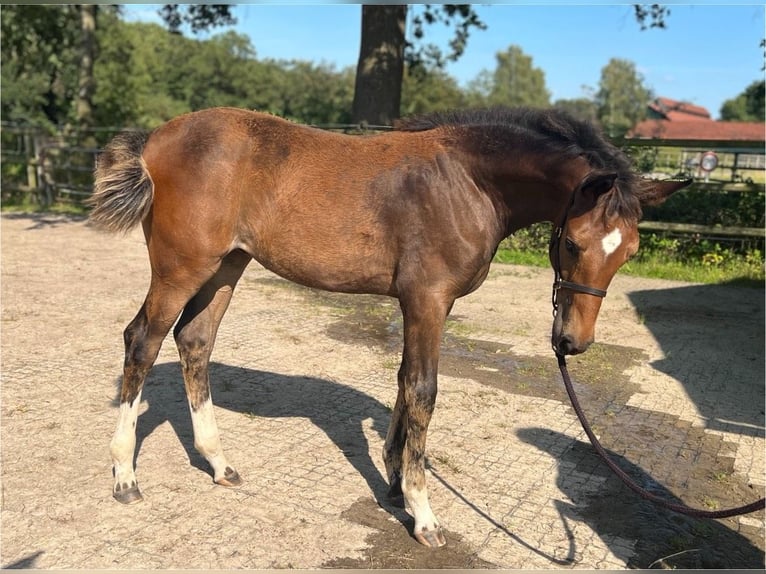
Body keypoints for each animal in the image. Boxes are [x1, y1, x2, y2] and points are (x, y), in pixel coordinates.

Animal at [90, 107, 688, 548]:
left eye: (629, 252)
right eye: (574, 244)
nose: (572, 342)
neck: (468, 182)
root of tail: (154, 139)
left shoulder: (419, 304)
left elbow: (403, 382)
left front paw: (396, 481)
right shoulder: (427, 300)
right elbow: (423, 390)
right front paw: (423, 515)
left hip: (226, 266)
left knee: (195, 342)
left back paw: (218, 464)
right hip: (181, 267)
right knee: (142, 342)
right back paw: (124, 477)